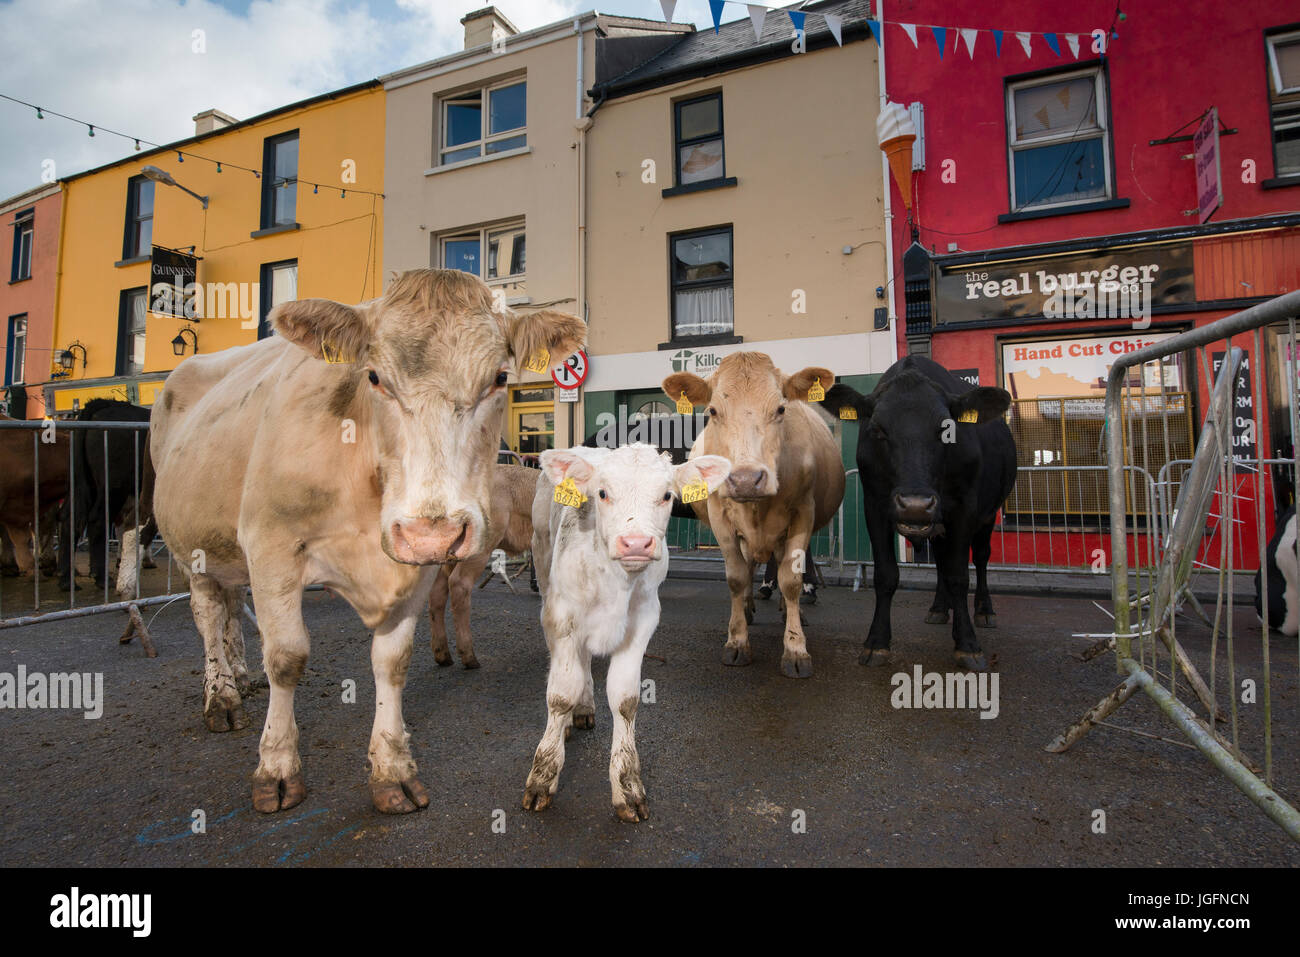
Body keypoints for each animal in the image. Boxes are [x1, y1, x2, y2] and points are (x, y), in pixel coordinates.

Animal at [429, 463, 539, 668]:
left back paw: (444, 658)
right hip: (480, 544)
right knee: (458, 583)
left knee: (437, 591)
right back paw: (471, 660)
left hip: (447, 552)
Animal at [523, 443, 731, 821]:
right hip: (542, 561)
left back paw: (584, 708)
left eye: (666, 495)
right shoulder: (562, 616)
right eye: (603, 493)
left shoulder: (643, 620)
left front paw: (628, 785)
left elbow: (625, 699)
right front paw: (542, 777)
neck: (614, 582)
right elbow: (559, 694)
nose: (635, 543)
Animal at [662, 352, 845, 678]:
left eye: (781, 408)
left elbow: (791, 580)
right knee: (748, 568)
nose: (746, 480)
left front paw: (796, 649)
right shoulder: (720, 517)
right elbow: (736, 577)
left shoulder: (803, 514)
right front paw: (737, 641)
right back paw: (746, 608)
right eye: (713, 411)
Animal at [825, 355, 1016, 671]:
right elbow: (886, 575)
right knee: (940, 560)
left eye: (947, 429)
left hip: (989, 514)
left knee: (981, 558)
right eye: (877, 429)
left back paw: (984, 611)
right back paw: (939, 607)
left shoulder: (965, 507)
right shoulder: (874, 505)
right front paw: (876, 642)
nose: (915, 504)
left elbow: (959, 575)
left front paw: (967, 644)